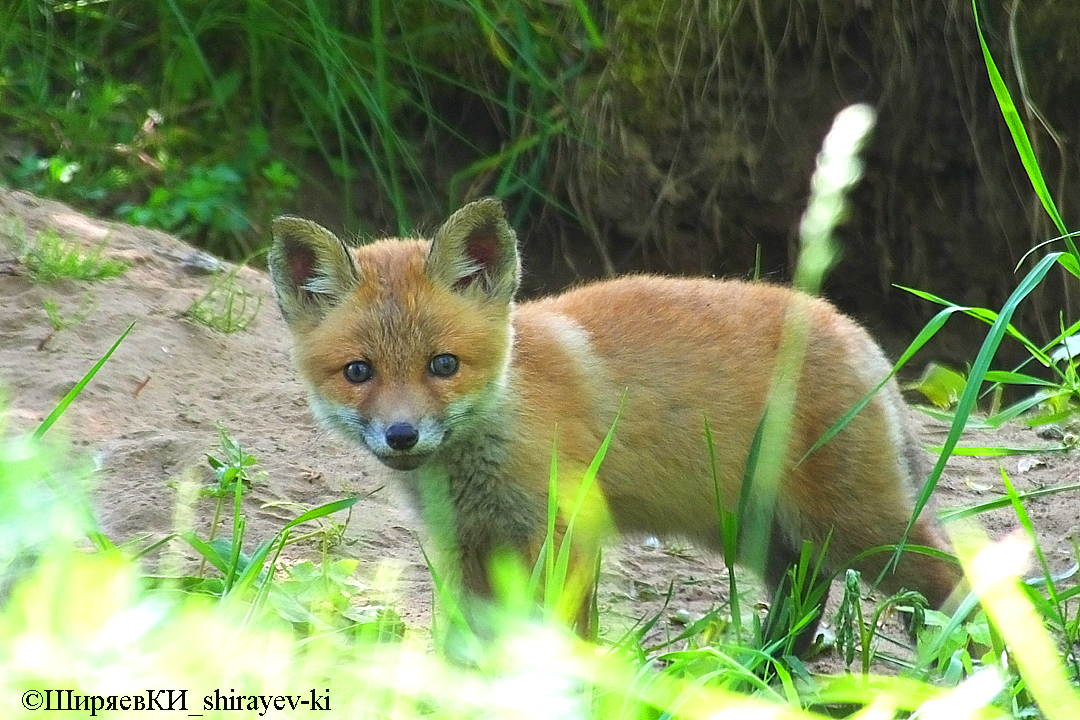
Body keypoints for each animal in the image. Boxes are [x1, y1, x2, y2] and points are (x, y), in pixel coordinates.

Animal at [270, 198, 963, 651]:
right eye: (358, 372)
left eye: (443, 365)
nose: (402, 435)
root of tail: (859, 334)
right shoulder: (470, 544)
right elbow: (471, 645)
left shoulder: (567, 533)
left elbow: (562, 635)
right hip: (762, 532)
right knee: (804, 593)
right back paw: (764, 671)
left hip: (861, 530)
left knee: (951, 580)